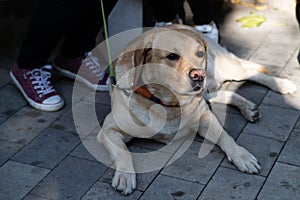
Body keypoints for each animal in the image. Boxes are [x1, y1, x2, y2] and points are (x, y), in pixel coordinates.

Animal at [98, 24, 296, 195]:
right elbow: (123, 152)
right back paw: (247, 107)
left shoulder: (206, 118)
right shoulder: (108, 129)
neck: (168, 104)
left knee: (253, 73)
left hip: (223, 69)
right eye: (172, 56)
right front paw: (125, 176)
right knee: (224, 93)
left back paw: (283, 84)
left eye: (199, 54)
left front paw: (242, 155)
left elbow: (226, 137)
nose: (199, 75)